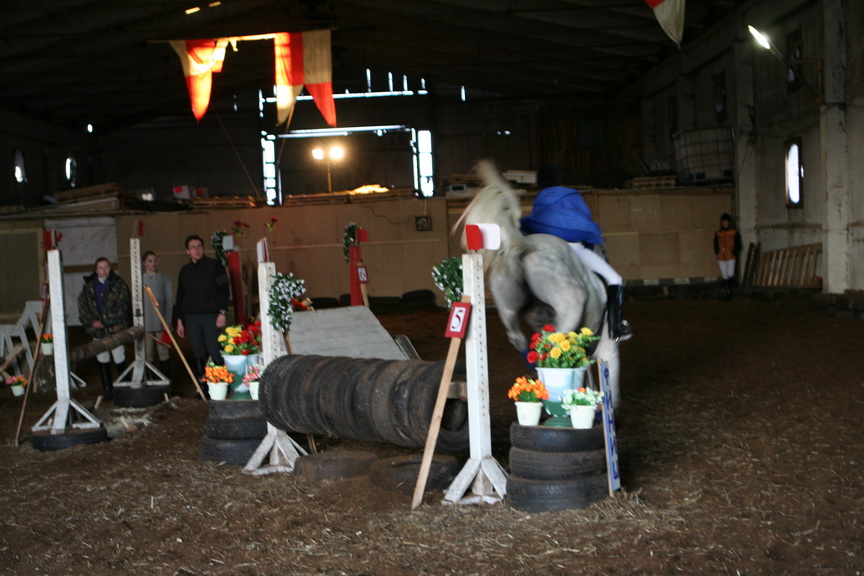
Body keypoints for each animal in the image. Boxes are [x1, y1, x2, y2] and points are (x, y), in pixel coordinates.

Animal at [456, 160, 621, 407]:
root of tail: (525, 246)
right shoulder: (607, 349)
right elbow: (609, 388)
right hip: (569, 308)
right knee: (553, 348)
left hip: (508, 307)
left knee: (521, 340)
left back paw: (535, 378)